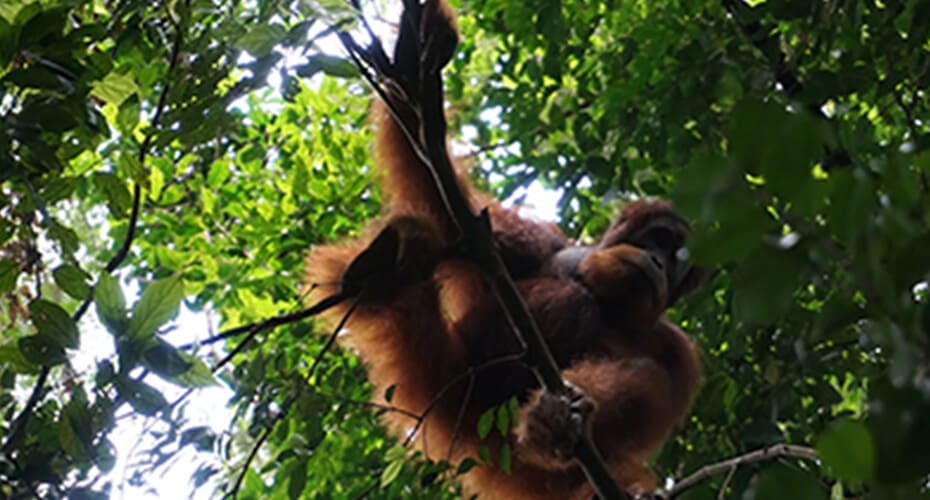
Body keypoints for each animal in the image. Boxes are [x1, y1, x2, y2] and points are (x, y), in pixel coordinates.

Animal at [303, 1, 703, 498]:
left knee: (634, 385)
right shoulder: (533, 244)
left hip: (516, 457)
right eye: (660, 242)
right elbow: (452, 215)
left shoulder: (680, 354)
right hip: (453, 379)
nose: (660, 264)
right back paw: (384, 264)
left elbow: (653, 392)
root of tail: (471, 436)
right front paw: (417, 60)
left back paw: (553, 426)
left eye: (677, 262)